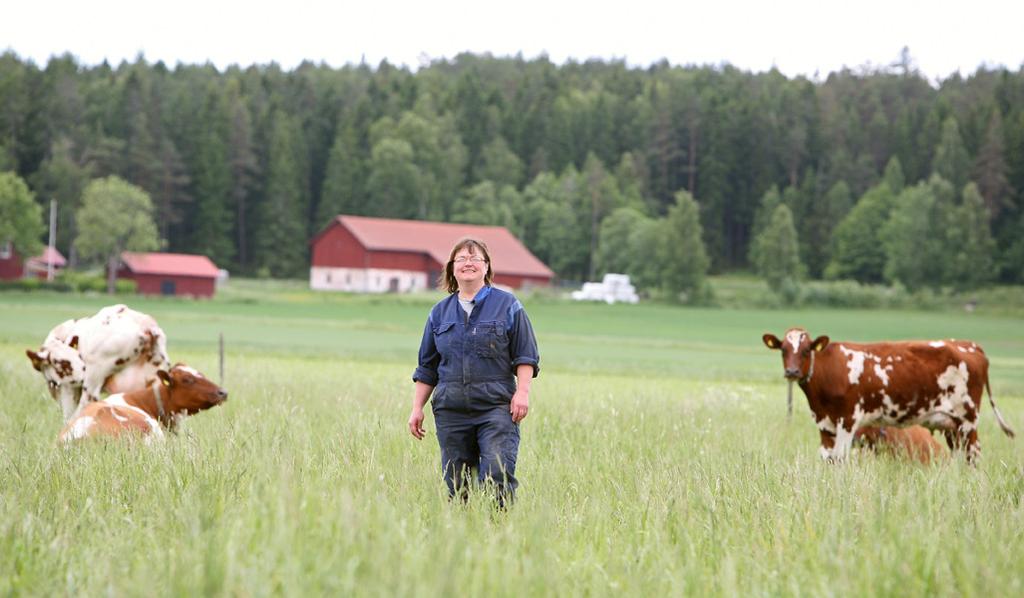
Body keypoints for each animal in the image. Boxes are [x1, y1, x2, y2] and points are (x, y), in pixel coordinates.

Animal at [25, 303, 168, 425]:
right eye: (63, 363)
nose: (82, 373)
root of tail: (146, 324)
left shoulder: (68, 388)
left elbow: (68, 415)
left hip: (93, 379)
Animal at [761, 327, 1015, 462]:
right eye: (783, 350)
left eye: (806, 350)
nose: (792, 372)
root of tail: (970, 345)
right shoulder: (825, 425)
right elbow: (828, 458)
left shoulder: (848, 420)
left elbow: (841, 458)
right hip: (951, 425)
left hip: (967, 421)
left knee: (973, 455)